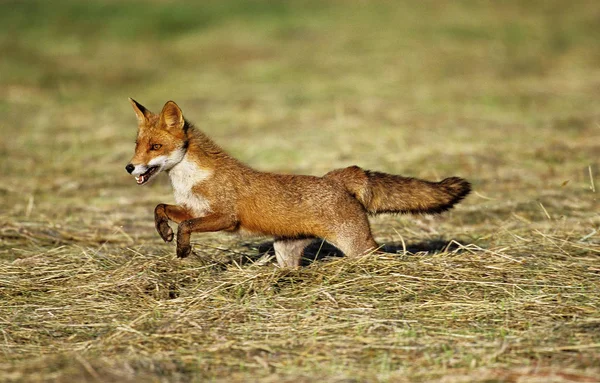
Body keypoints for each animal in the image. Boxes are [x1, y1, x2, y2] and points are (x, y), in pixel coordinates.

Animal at [124, 99, 472, 268]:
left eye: (155, 147)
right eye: (137, 145)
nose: (130, 167)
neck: (190, 180)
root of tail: (338, 176)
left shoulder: (225, 217)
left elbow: (186, 226)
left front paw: (182, 247)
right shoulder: (191, 207)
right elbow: (161, 208)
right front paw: (164, 232)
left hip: (356, 246)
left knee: (381, 254)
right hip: (285, 251)